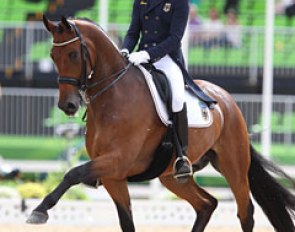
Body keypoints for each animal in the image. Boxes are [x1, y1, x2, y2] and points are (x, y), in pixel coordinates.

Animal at [26, 15, 294, 231]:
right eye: (52, 56)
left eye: (73, 54)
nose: (68, 105)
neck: (113, 97)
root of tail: (227, 100)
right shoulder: (113, 175)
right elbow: (126, 222)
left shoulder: (118, 161)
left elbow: (73, 173)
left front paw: (39, 210)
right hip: (171, 175)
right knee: (207, 204)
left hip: (233, 166)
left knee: (245, 211)